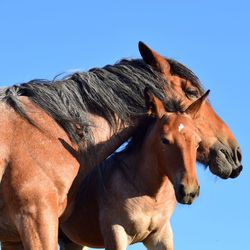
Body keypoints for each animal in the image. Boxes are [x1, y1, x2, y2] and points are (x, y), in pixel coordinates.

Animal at [59, 89, 208, 249]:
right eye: (165, 140)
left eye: (198, 142)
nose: (189, 191)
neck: (149, 194)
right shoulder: (116, 232)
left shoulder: (160, 235)